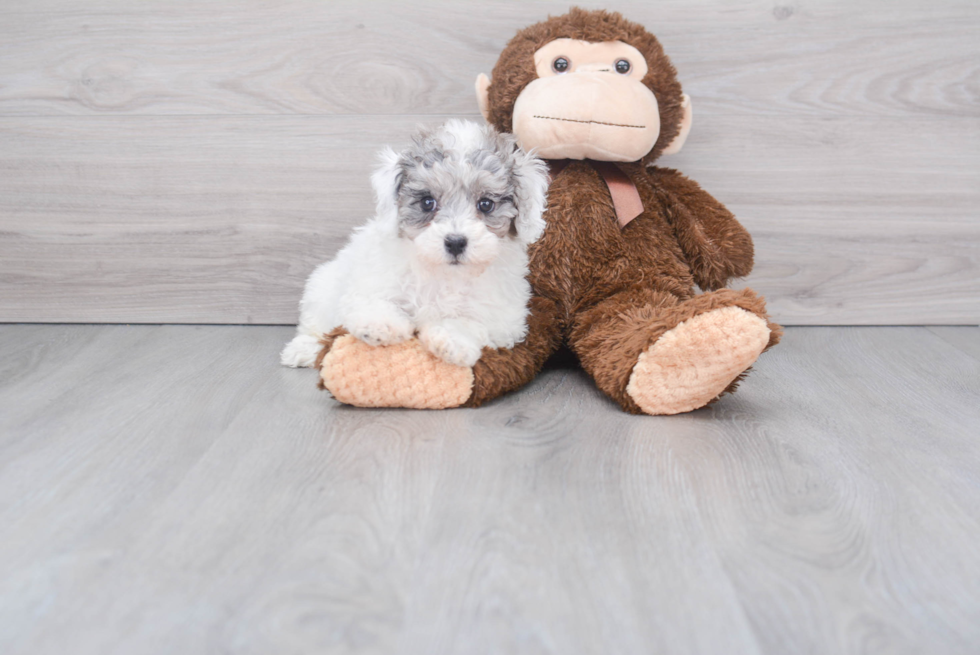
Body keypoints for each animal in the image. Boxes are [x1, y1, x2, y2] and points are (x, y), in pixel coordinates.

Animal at [282, 120, 552, 372]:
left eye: (486, 204)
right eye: (427, 202)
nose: (455, 242)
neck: (444, 274)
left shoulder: (505, 319)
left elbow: (472, 322)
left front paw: (452, 340)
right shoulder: (369, 281)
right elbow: (373, 300)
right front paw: (381, 324)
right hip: (322, 288)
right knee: (315, 325)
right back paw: (303, 349)